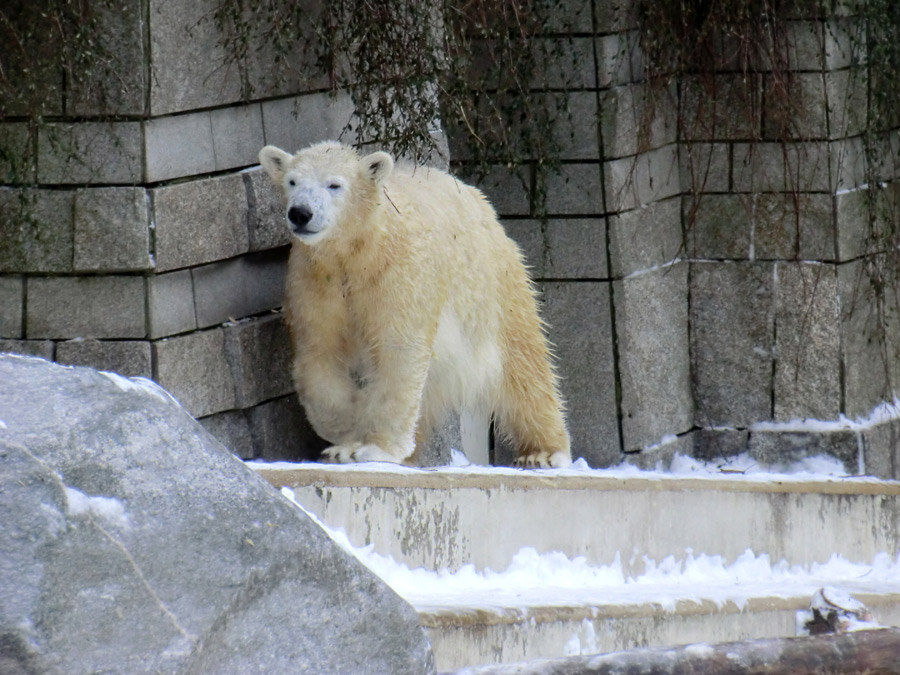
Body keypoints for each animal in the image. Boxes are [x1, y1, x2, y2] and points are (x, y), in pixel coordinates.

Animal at [260, 141, 568, 470]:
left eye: (334, 184)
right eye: (292, 181)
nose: (300, 213)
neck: (359, 251)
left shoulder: (399, 274)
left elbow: (399, 352)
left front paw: (369, 448)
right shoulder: (316, 282)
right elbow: (318, 354)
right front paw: (347, 434)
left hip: (492, 287)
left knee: (521, 362)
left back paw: (545, 452)